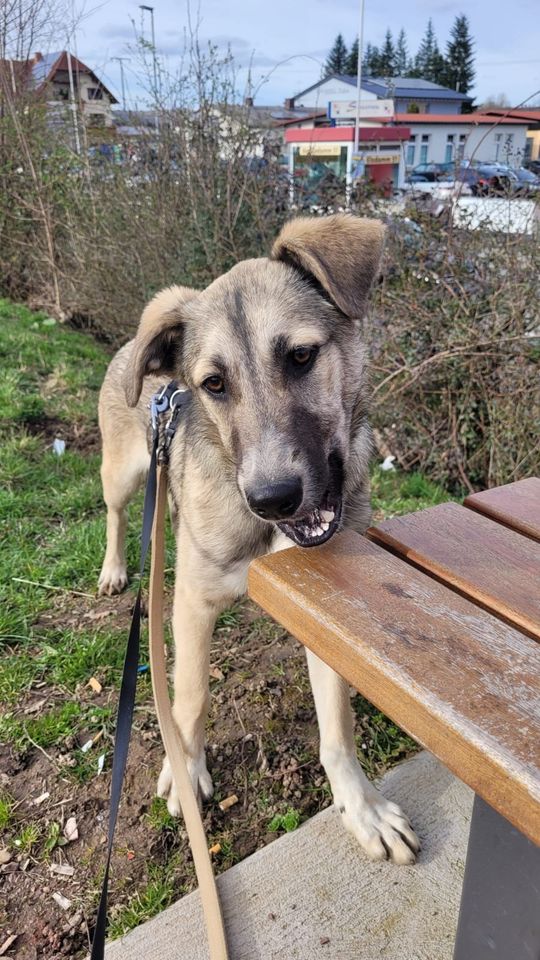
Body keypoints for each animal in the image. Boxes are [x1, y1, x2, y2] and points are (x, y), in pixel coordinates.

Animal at [97, 214, 420, 868]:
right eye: (214, 384)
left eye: (300, 356)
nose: (272, 499)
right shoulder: (193, 604)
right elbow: (191, 696)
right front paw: (185, 773)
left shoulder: (327, 612)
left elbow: (337, 727)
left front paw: (362, 808)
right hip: (123, 474)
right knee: (117, 515)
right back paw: (116, 569)